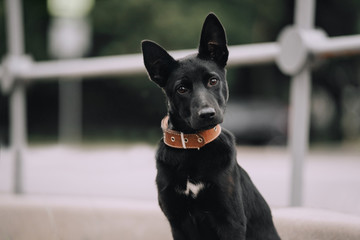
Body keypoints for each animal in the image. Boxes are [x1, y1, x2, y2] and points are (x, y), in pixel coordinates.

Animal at [141, 13, 282, 240]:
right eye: (182, 88)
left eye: (213, 81)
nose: (207, 114)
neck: (193, 148)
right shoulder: (178, 222)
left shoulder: (230, 222)